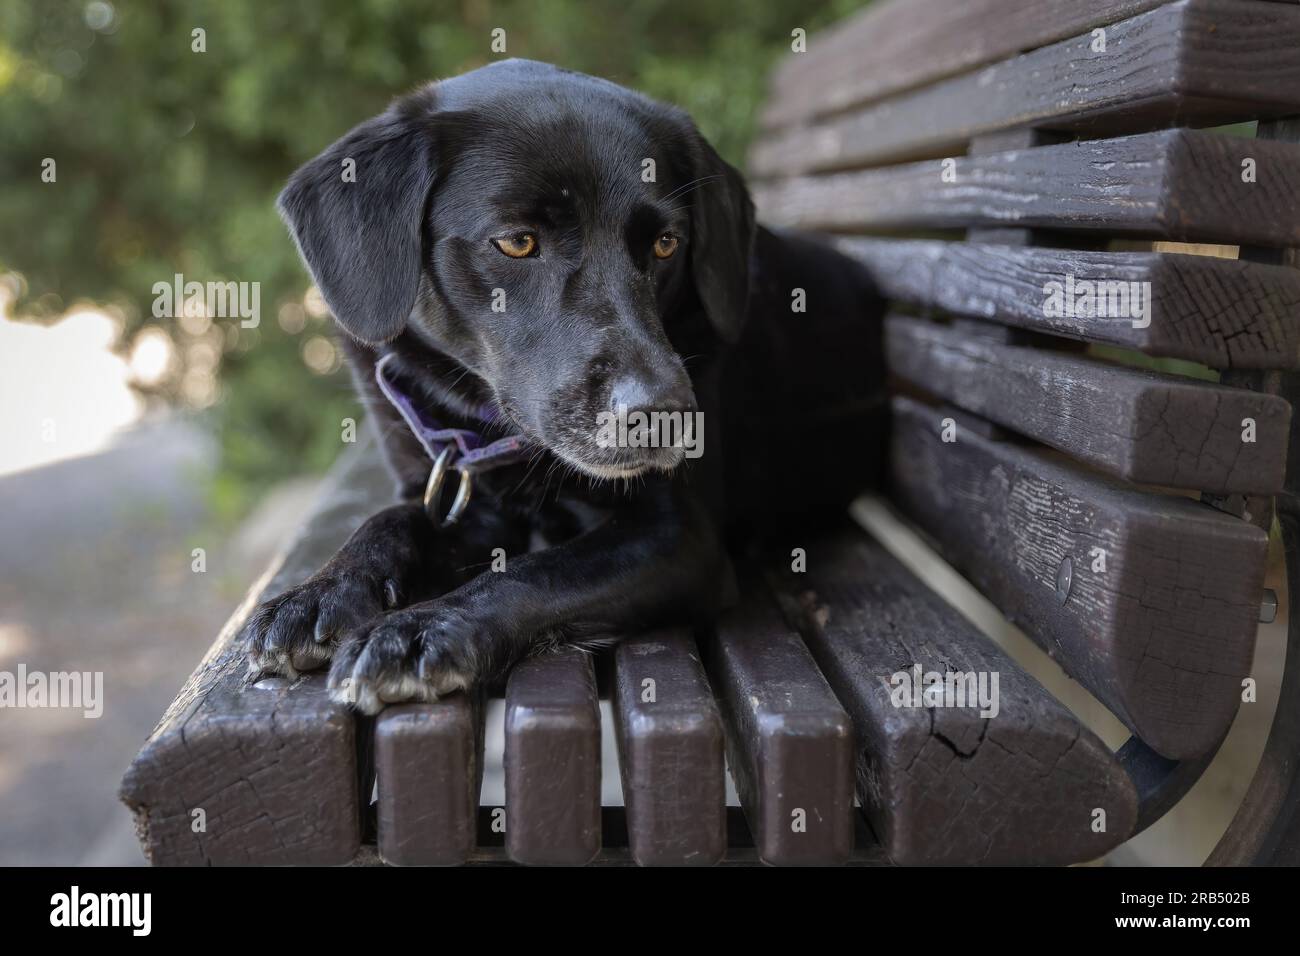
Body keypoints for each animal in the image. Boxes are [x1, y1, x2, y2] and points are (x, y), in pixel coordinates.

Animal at [243, 54, 883, 712]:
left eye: (666, 243)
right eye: (517, 241)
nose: (666, 416)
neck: (485, 430)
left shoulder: (682, 537)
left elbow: (537, 571)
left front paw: (420, 628)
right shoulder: (459, 500)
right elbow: (392, 521)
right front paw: (321, 592)